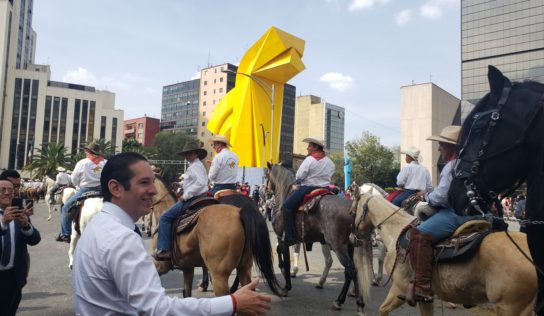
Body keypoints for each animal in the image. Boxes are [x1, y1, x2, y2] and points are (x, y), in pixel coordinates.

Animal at [151, 178, 282, 298]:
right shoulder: (188, 268)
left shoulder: (161, 265)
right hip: (244, 268)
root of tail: (241, 211)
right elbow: (187, 292)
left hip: (220, 276)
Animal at [266, 163, 368, 314]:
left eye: (266, 175)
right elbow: (280, 252)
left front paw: (286, 285)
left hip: (338, 246)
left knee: (351, 270)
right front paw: (283, 270)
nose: (265, 190)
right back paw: (342, 300)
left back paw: (355, 303)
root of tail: (352, 210)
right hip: (348, 246)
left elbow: (286, 259)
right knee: (348, 272)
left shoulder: (282, 238)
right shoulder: (288, 240)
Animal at [350, 186, 536, 314]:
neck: (396, 232)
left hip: (509, 307)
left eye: (352, 212)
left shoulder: (400, 288)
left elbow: (383, 309)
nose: (352, 238)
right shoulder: (426, 298)